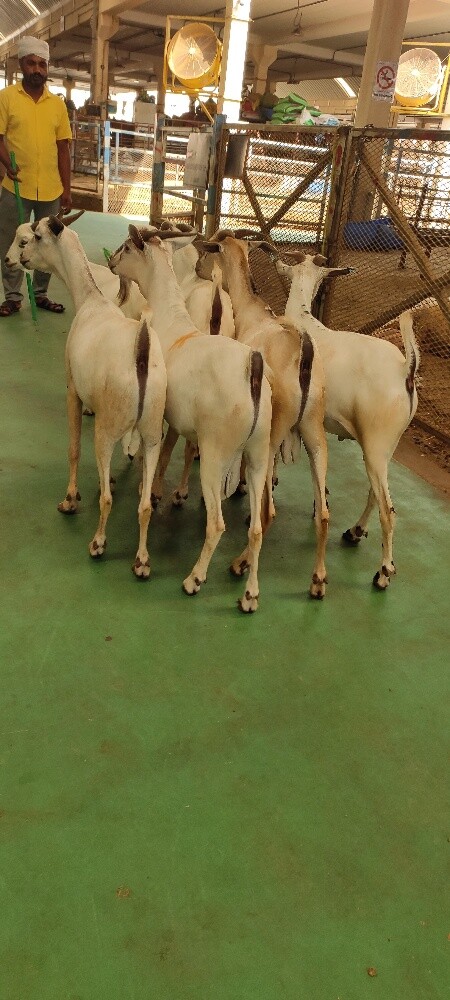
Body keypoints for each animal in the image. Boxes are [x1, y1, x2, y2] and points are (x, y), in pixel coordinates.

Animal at [18, 216, 167, 577]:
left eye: (36, 237)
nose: (20, 259)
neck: (91, 302)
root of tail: (141, 351)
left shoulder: (73, 389)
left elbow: (73, 448)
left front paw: (70, 499)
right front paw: (108, 478)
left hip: (107, 429)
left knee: (107, 499)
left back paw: (98, 543)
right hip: (152, 432)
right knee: (144, 505)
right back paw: (142, 561)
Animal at [108, 226, 273, 613]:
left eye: (127, 247)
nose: (111, 261)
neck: (173, 323)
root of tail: (253, 370)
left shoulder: (163, 419)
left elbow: (158, 454)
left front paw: (150, 489)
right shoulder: (182, 425)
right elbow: (173, 452)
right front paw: (162, 491)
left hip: (216, 454)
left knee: (216, 525)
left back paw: (194, 579)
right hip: (258, 454)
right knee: (257, 528)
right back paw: (250, 595)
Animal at [201, 234, 329, 600]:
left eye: (213, 248)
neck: (252, 313)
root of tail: (304, 356)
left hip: (273, 436)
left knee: (269, 511)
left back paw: (240, 564)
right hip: (314, 431)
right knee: (324, 514)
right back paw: (317, 580)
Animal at [275, 250, 420, 590]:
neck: (303, 317)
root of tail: (405, 371)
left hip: (377, 440)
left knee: (389, 511)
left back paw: (383, 572)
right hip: (383, 445)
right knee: (375, 493)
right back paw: (354, 532)